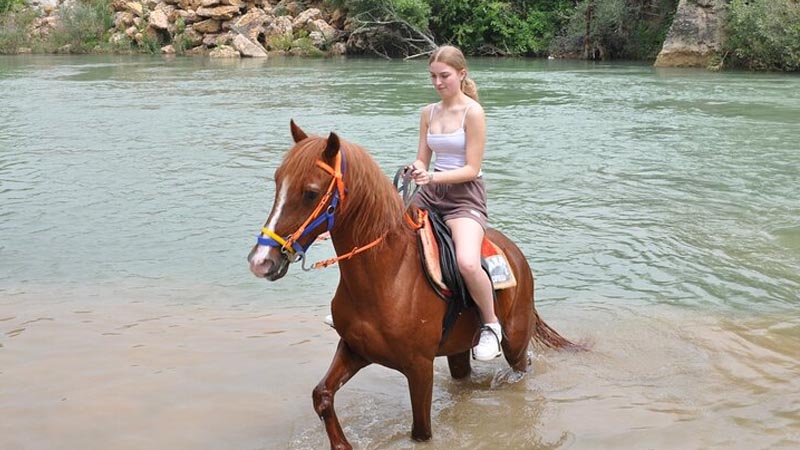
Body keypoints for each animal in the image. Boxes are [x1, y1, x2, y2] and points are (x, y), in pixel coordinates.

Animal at [248, 121, 577, 449]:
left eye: (310, 193)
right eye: (278, 182)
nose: (260, 261)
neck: (387, 277)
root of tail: (516, 254)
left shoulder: (419, 368)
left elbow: (421, 432)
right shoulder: (354, 349)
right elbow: (322, 395)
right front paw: (342, 443)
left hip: (516, 345)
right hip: (458, 350)